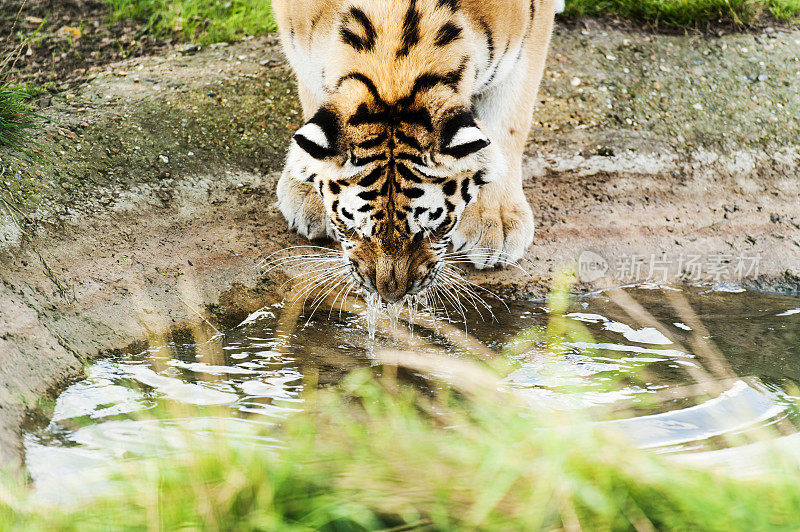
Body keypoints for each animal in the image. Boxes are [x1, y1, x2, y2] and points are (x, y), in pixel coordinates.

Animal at [272, 0, 552, 304]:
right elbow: (313, 96)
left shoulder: (528, 41)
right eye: (352, 228)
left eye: (435, 229)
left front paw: (496, 221)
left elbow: (509, 121)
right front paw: (308, 193)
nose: (390, 295)